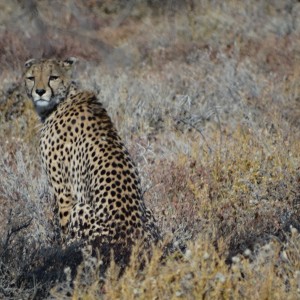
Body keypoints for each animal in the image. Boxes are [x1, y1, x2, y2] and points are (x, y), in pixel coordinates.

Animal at [24, 57, 159, 250]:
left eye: (53, 77)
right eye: (31, 78)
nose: (40, 92)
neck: (61, 101)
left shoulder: (64, 191)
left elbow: (63, 229)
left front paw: (61, 251)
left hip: (81, 209)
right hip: (147, 211)